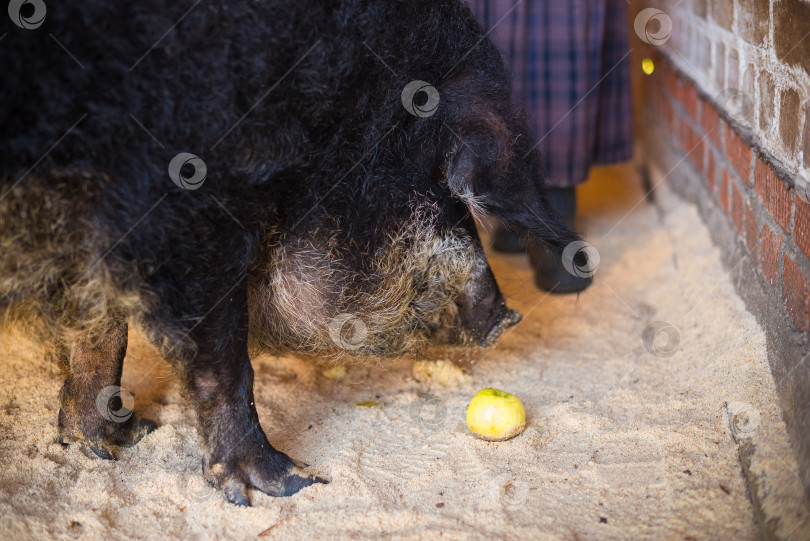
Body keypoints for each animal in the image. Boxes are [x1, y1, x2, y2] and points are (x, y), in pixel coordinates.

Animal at [1, 1, 588, 506]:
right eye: (438, 181)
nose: (509, 316)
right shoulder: (187, 213)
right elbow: (221, 355)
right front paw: (293, 483)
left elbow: (100, 330)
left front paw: (121, 440)